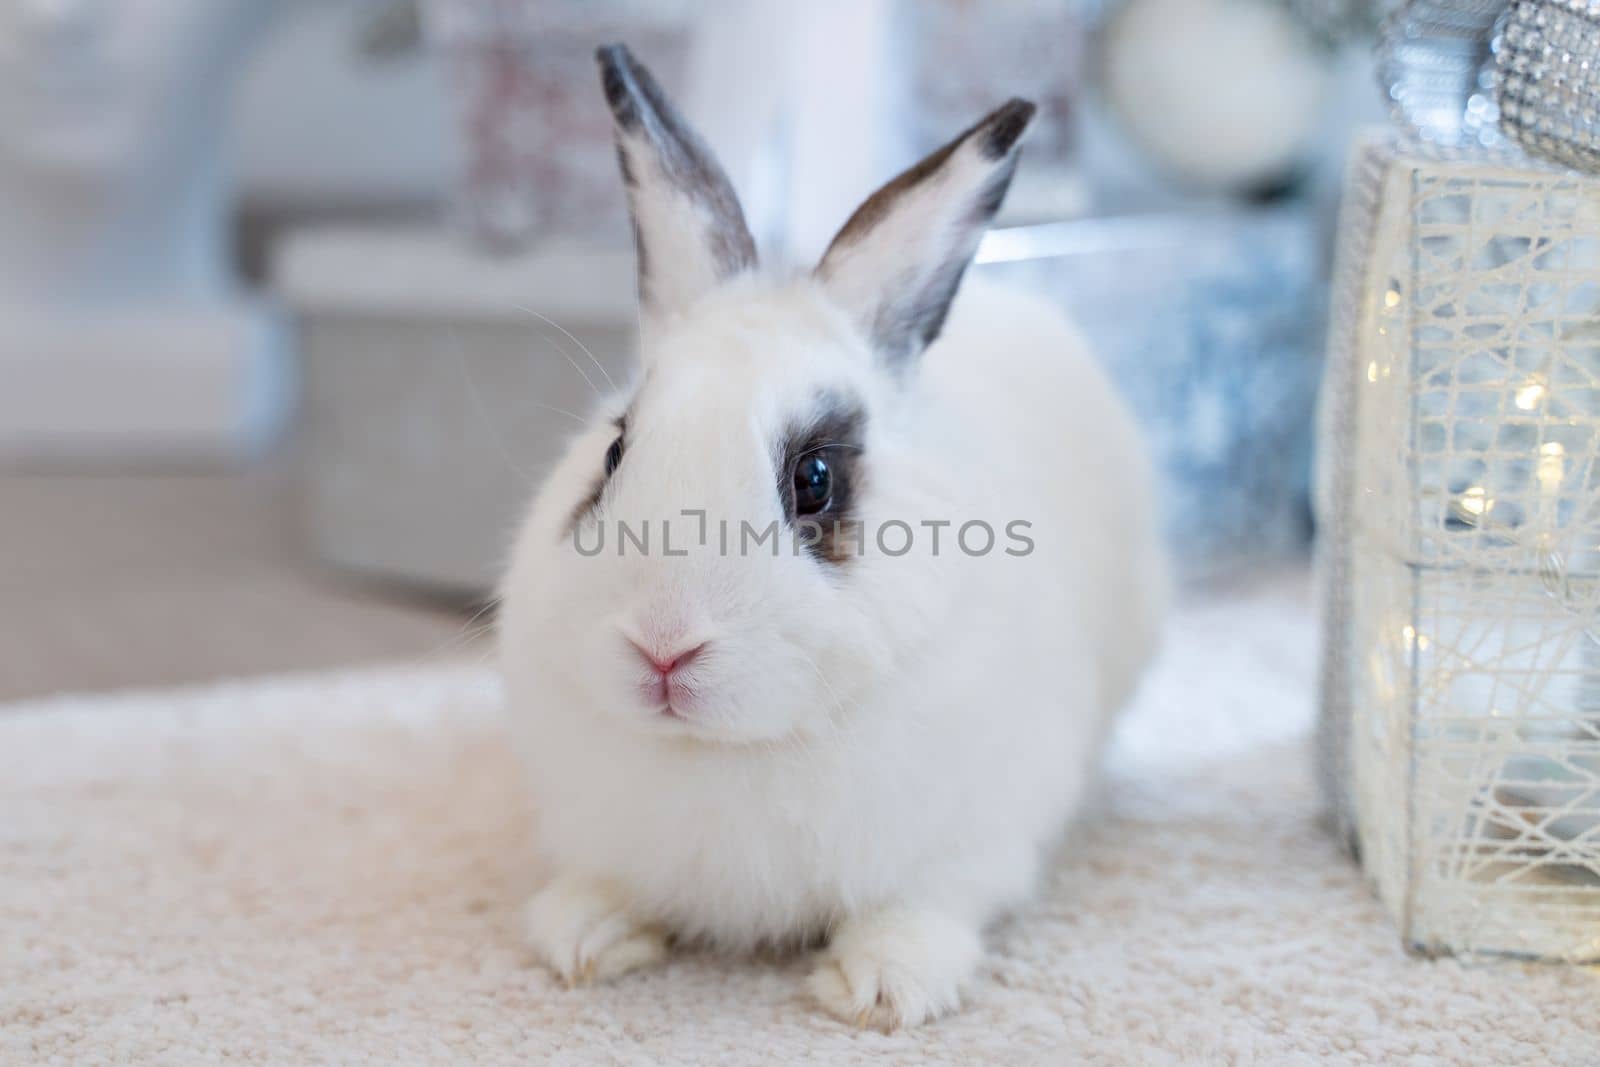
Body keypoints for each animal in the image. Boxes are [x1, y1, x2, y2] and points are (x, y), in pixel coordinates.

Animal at [499, 43, 1164, 1036]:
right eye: (614, 452)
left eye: (814, 478)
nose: (663, 646)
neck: (728, 751)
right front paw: (581, 939)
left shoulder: (971, 839)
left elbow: (924, 906)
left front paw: (882, 990)